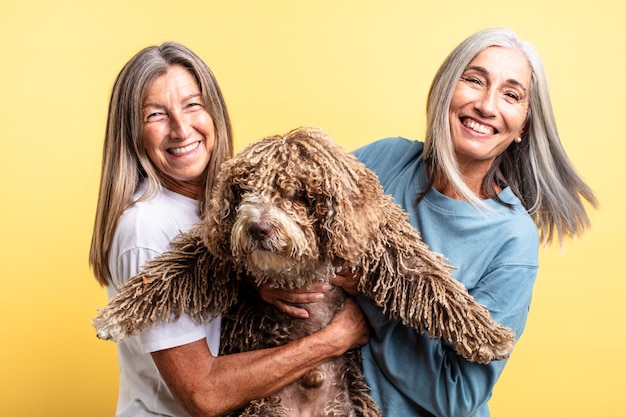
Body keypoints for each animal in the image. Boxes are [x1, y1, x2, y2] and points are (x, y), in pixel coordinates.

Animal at [91, 125, 512, 414]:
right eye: (244, 191)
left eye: (295, 195)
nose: (258, 228)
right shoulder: (217, 254)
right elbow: (169, 273)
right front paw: (115, 315)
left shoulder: (383, 245)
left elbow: (432, 283)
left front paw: (489, 335)